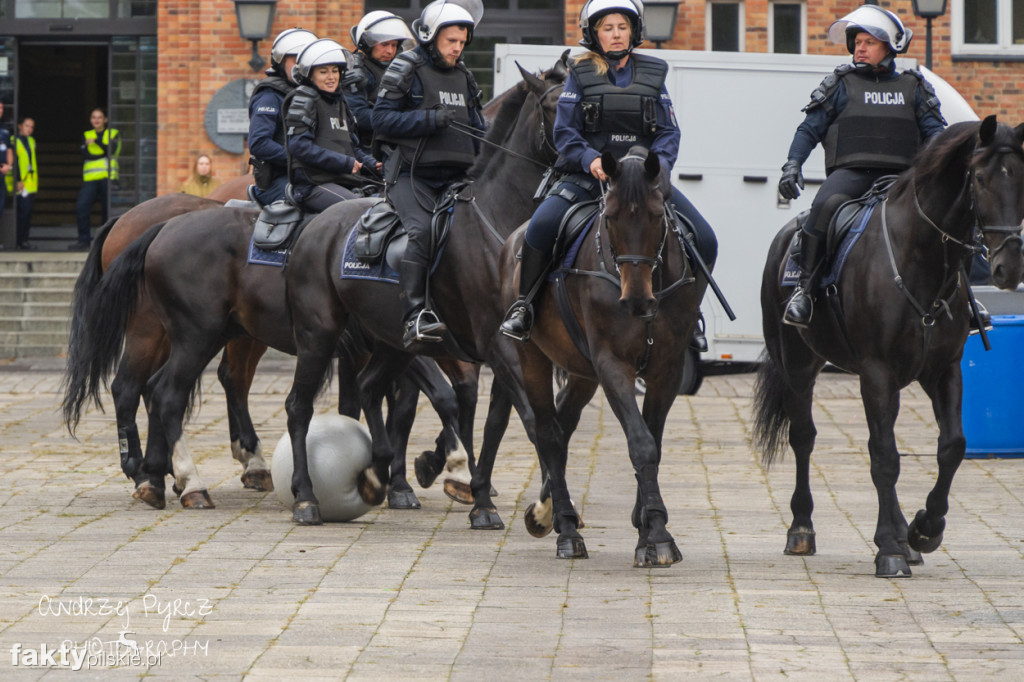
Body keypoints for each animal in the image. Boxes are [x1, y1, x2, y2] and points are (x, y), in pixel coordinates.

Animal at [497, 148, 708, 561]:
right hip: (531, 357)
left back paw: (548, 511)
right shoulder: (613, 365)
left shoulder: (667, 369)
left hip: (583, 371)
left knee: (563, 426)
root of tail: (514, 237)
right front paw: (658, 533)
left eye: (657, 215)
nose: (637, 301)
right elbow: (641, 443)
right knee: (548, 433)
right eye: (609, 217)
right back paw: (564, 530)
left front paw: (646, 529)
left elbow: (654, 442)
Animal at [753, 116, 1024, 573]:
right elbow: (884, 457)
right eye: (981, 179)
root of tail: (784, 237)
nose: (1009, 266)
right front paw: (889, 549)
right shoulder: (876, 372)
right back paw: (802, 528)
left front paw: (924, 530)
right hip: (798, 366)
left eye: (1021, 179)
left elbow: (951, 447)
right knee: (804, 437)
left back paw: (904, 536)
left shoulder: (942, 370)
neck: (919, 258)